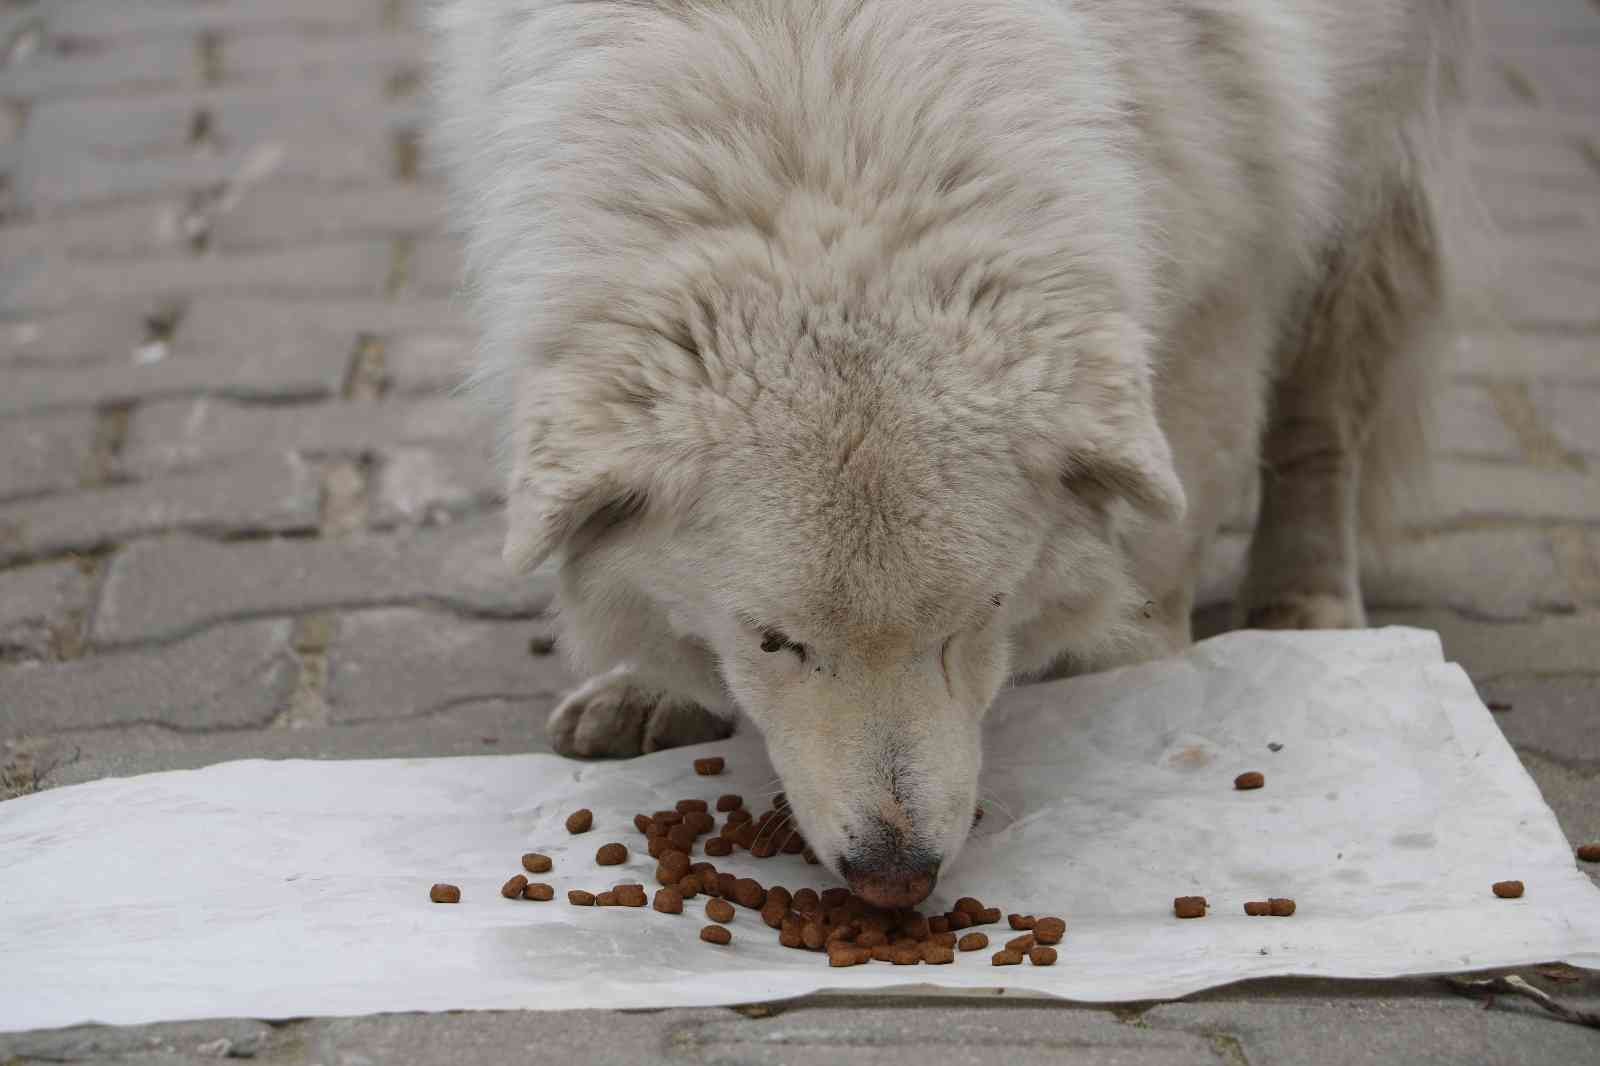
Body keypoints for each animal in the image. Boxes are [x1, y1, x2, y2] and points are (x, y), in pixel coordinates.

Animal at [428, 0, 1472, 902]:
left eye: (977, 621)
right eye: (774, 642)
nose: (897, 874)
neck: (820, 77)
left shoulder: (1225, 223)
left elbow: (1171, 511)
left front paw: (1118, 662)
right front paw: (651, 686)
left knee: (1323, 412)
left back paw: (1306, 608)